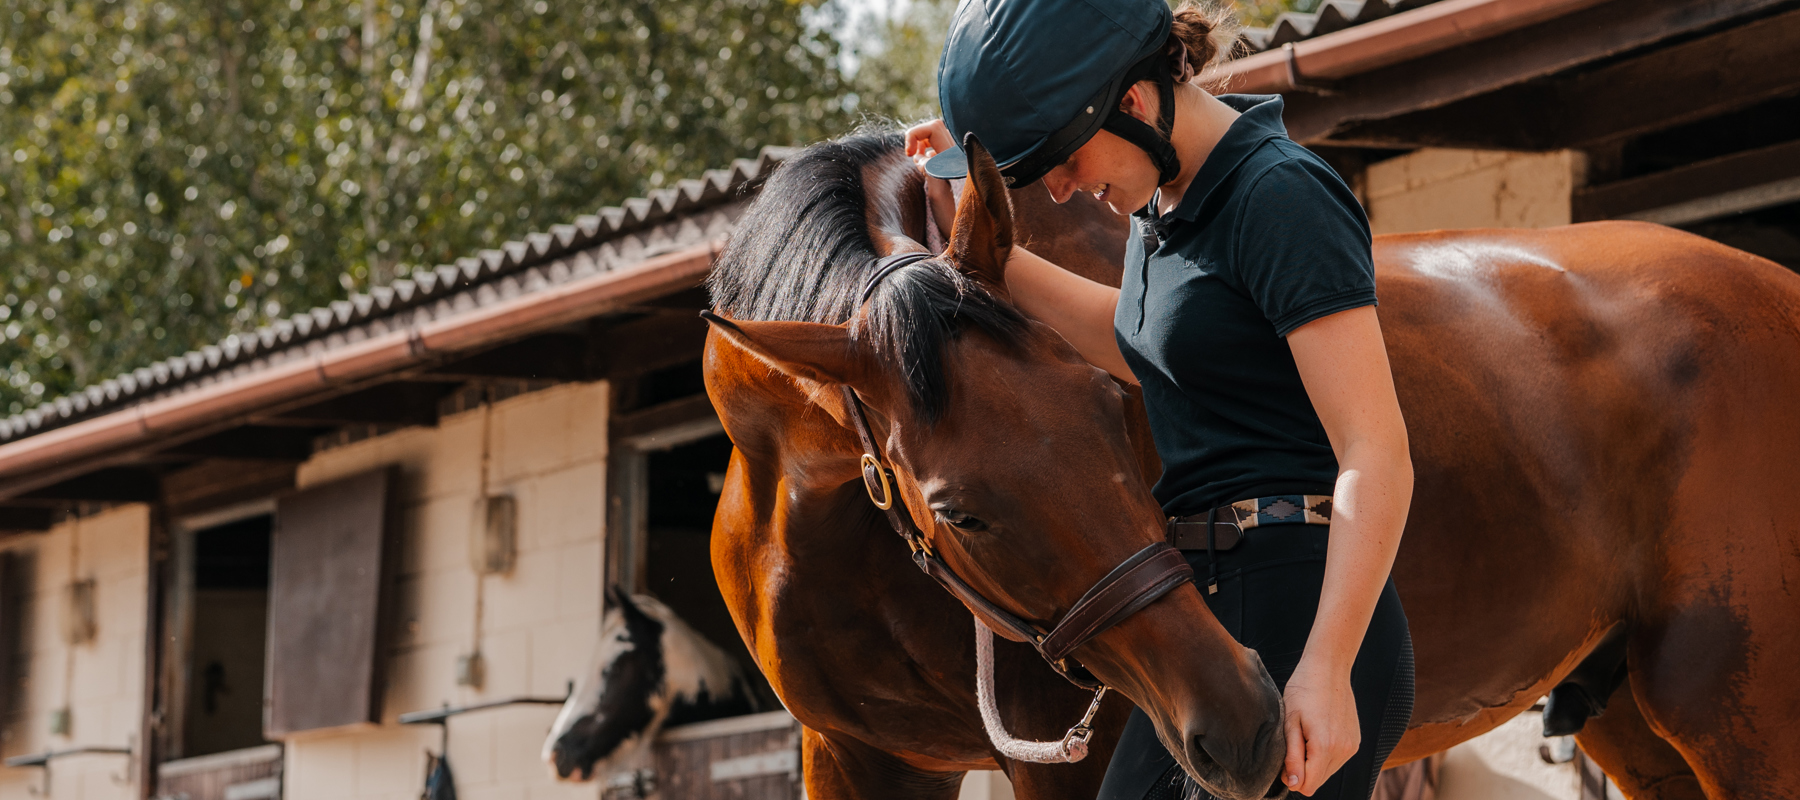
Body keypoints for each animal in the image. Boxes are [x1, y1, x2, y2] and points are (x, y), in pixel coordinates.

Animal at [702, 127, 1800, 800]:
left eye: (1115, 413)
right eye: (960, 509)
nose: (1244, 716)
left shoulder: (1075, 758)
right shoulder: (860, 756)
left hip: (1735, 707)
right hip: (1631, 716)